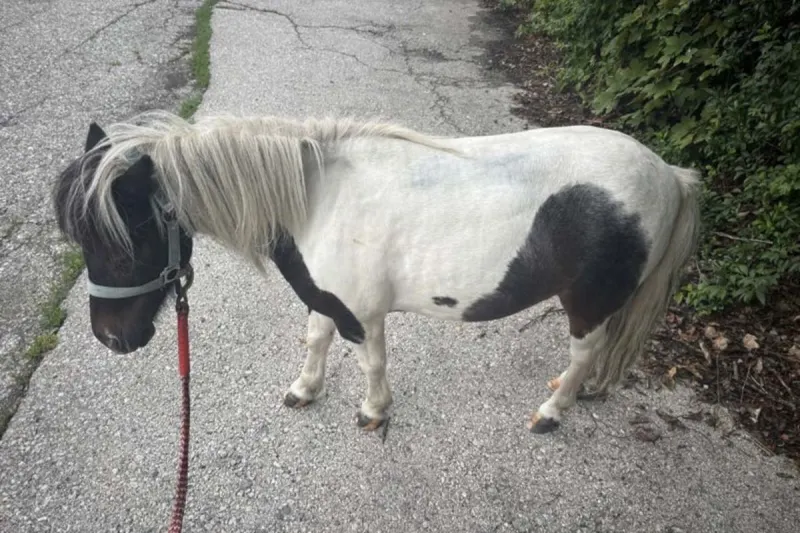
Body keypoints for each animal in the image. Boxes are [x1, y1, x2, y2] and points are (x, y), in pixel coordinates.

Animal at [52, 110, 700, 433]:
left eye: (128, 238)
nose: (111, 338)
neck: (315, 198)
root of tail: (668, 174)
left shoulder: (362, 314)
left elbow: (370, 363)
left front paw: (373, 411)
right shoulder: (326, 298)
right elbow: (314, 338)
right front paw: (305, 390)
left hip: (586, 301)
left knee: (586, 352)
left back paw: (552, 412)